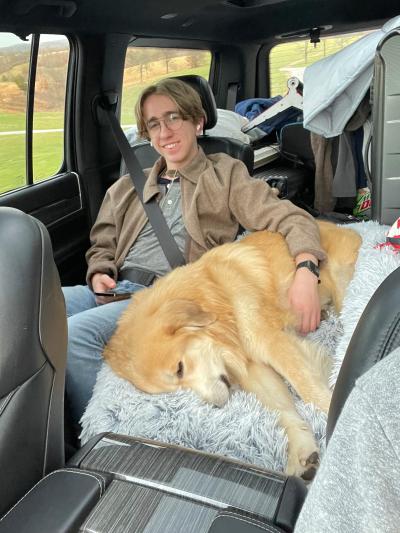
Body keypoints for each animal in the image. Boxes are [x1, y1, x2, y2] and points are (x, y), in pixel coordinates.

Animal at [102, 220, 360, 478]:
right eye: (171, 390)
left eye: (179, 368)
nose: (215, 407)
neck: (218, 297)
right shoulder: (251, 368)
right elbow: (282, 410)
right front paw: (301, 449)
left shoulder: (268, 342)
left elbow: (307, 387)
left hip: (341, 283)